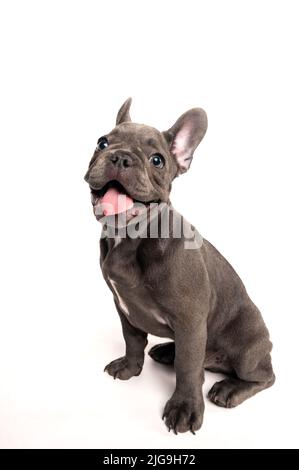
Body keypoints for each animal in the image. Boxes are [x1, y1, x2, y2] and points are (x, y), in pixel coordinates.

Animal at [84, 98, 276, 434]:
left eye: (157, 160)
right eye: (102, 142)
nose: (120, 157)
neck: (131, 238)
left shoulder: (190, 319)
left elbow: (188, 369)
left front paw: (185, 408)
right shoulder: (123, 306)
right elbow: (132, 339)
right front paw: (130, 367)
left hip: (246, 346)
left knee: (262, 375)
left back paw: (230, 388)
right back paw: (165, 351)